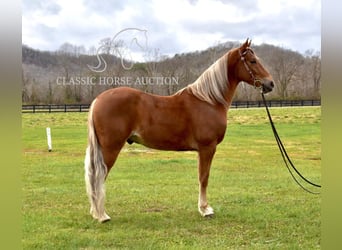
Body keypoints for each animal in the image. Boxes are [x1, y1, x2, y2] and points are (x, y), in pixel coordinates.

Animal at [84, 39, 274, 223]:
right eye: (253, 61)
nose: (270, 83)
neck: (209, 100)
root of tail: (98, 99)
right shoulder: (207, 148)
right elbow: (204, 177)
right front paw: (205, 210)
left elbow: (201, 176)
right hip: (111, 148)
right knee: (99, 177)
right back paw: (102, 215)